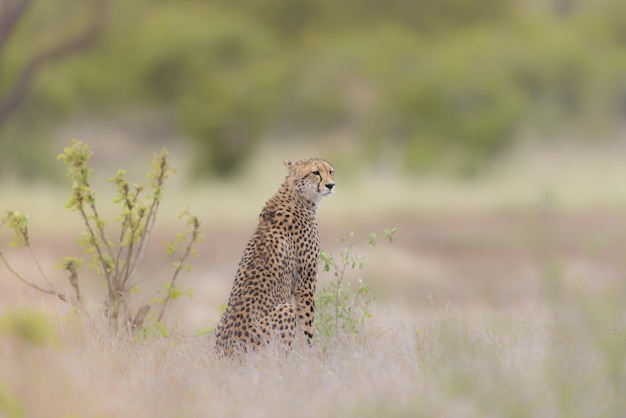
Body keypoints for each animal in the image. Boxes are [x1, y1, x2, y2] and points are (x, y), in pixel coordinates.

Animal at [213, 158, 334, 356]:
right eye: (315, 172)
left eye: (331, 171)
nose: (331, 185)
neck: (297, 196)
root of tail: (226, 352)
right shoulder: (305, 285)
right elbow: (307, 325)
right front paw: (309, 354)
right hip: (285, 310)